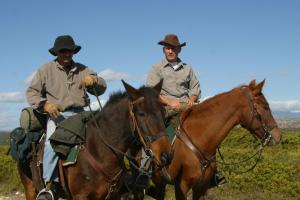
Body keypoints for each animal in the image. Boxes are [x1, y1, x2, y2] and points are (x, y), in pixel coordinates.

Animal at [19, 80, 173, 199]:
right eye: (141, 113)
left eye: (163, 112)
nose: (166, 155)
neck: (99, 151)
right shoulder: (80, 197)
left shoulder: (113, 195)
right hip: (30, 189)